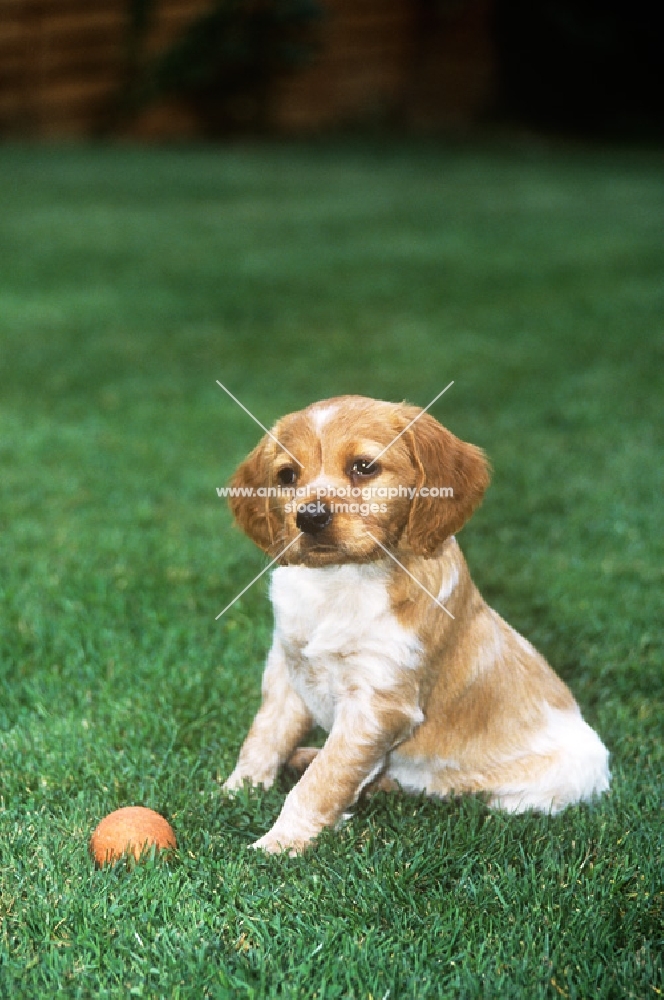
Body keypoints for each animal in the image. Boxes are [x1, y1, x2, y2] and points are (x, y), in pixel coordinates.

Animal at [224, 396, 612, 852]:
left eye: (363, 467)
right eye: (287, 476)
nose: (310, 517)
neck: (340, 580)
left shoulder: (378, 702)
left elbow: (326, 778)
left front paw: (279, 844)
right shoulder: (286, 668)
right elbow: (265, 735)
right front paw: (236, 791)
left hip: (537, 791)